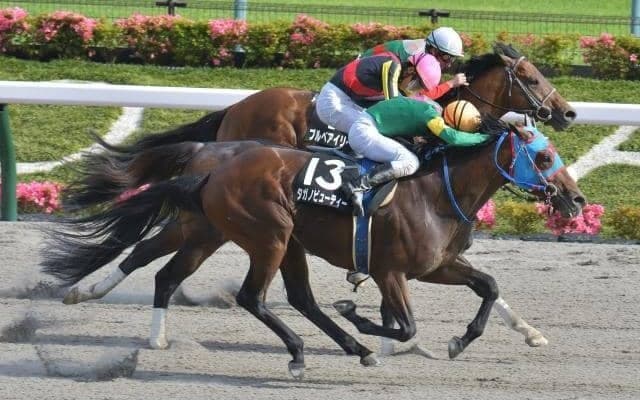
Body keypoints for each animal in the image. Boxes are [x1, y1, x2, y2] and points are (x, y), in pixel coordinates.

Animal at [42, 122, 586, 378]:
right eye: (543, 156)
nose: (576, 199)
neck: (436, 191)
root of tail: (211, 162)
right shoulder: (391, 270)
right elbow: (405, 322)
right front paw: (369, 321)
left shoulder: (438, 264)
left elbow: (488, 286)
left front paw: (462, 340)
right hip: (265, 233)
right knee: (249, 295)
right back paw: (304, 352)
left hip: (251, 236)